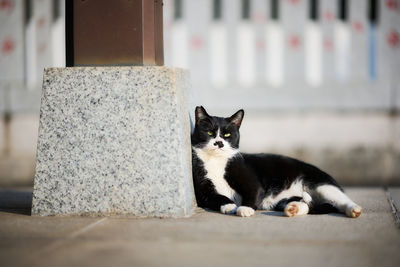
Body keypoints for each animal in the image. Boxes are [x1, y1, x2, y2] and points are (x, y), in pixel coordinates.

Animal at [191, 106, 362, 218]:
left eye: (227, 134)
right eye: (209, 132)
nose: (219, 143)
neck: (216, 161)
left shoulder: (250, 180)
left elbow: (252, 192)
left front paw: (244, 208)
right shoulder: (203, 189)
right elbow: (216, 197)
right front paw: (229, 205)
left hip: (321, 184)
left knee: (340, 201)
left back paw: (354, 210)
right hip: (283, 200)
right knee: (307, 204)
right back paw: (293, 209)